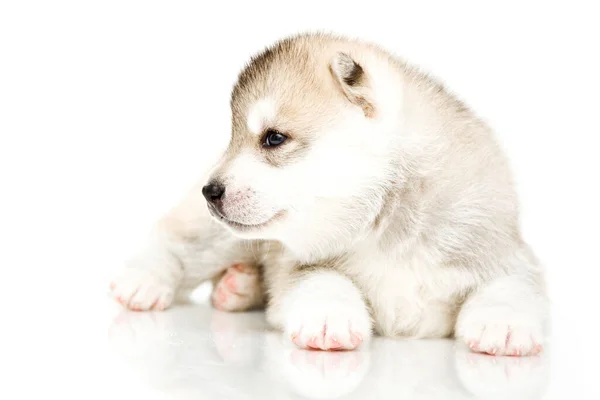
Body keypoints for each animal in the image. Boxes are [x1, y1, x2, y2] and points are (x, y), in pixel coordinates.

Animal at [111, 32, 548, 354]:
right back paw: (144, 281)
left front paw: (502, 321)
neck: (384, 226)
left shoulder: (499, 245)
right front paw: (329, 316)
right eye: (233, 140)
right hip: (220, 239)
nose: (210, 190)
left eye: (273, 138)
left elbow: (513, 282)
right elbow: (322, 279)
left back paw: (239, 287)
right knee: (178, 241)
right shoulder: (296, 263)